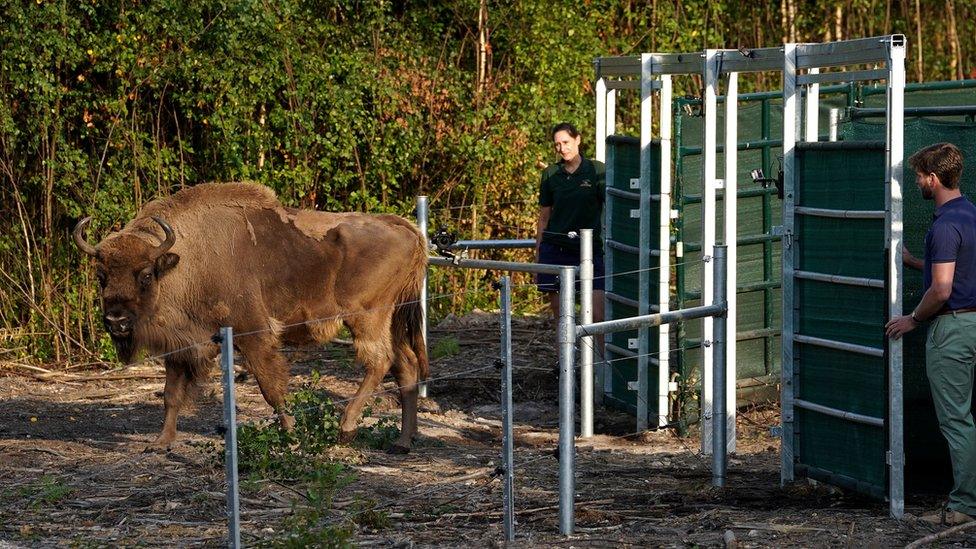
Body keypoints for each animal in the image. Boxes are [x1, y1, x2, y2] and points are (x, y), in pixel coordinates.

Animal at [74, 182, 428, 452]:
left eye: (145, 275)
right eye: (102, 276)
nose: (116, 321)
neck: (185, 261)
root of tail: (406, 228)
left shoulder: (253, 334)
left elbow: (271, 387)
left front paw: (292, 435)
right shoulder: (181, 343)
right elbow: (171, 395)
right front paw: (160, 443)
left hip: (366, 317)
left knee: (378, 361)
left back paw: (347, 428)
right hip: (391, 320)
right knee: (405, 366)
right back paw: (403, 441)